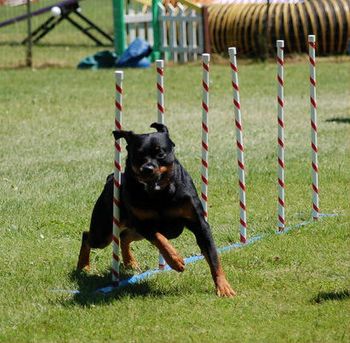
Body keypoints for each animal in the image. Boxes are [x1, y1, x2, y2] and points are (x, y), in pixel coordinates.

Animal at [77, 123, 235, 298]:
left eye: (160, 153)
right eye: (138, 154)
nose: (147, 168)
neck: (159, 193)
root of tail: (111, 177)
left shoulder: (199, 224)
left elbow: (213, 256)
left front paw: (223, 286)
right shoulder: (144, 224)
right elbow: (160, 239)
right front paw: (176, 261)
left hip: (132, 231)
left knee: (124, 237)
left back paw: (130, 262)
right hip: (105, 231)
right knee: (88, 236)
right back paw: (83, 266)